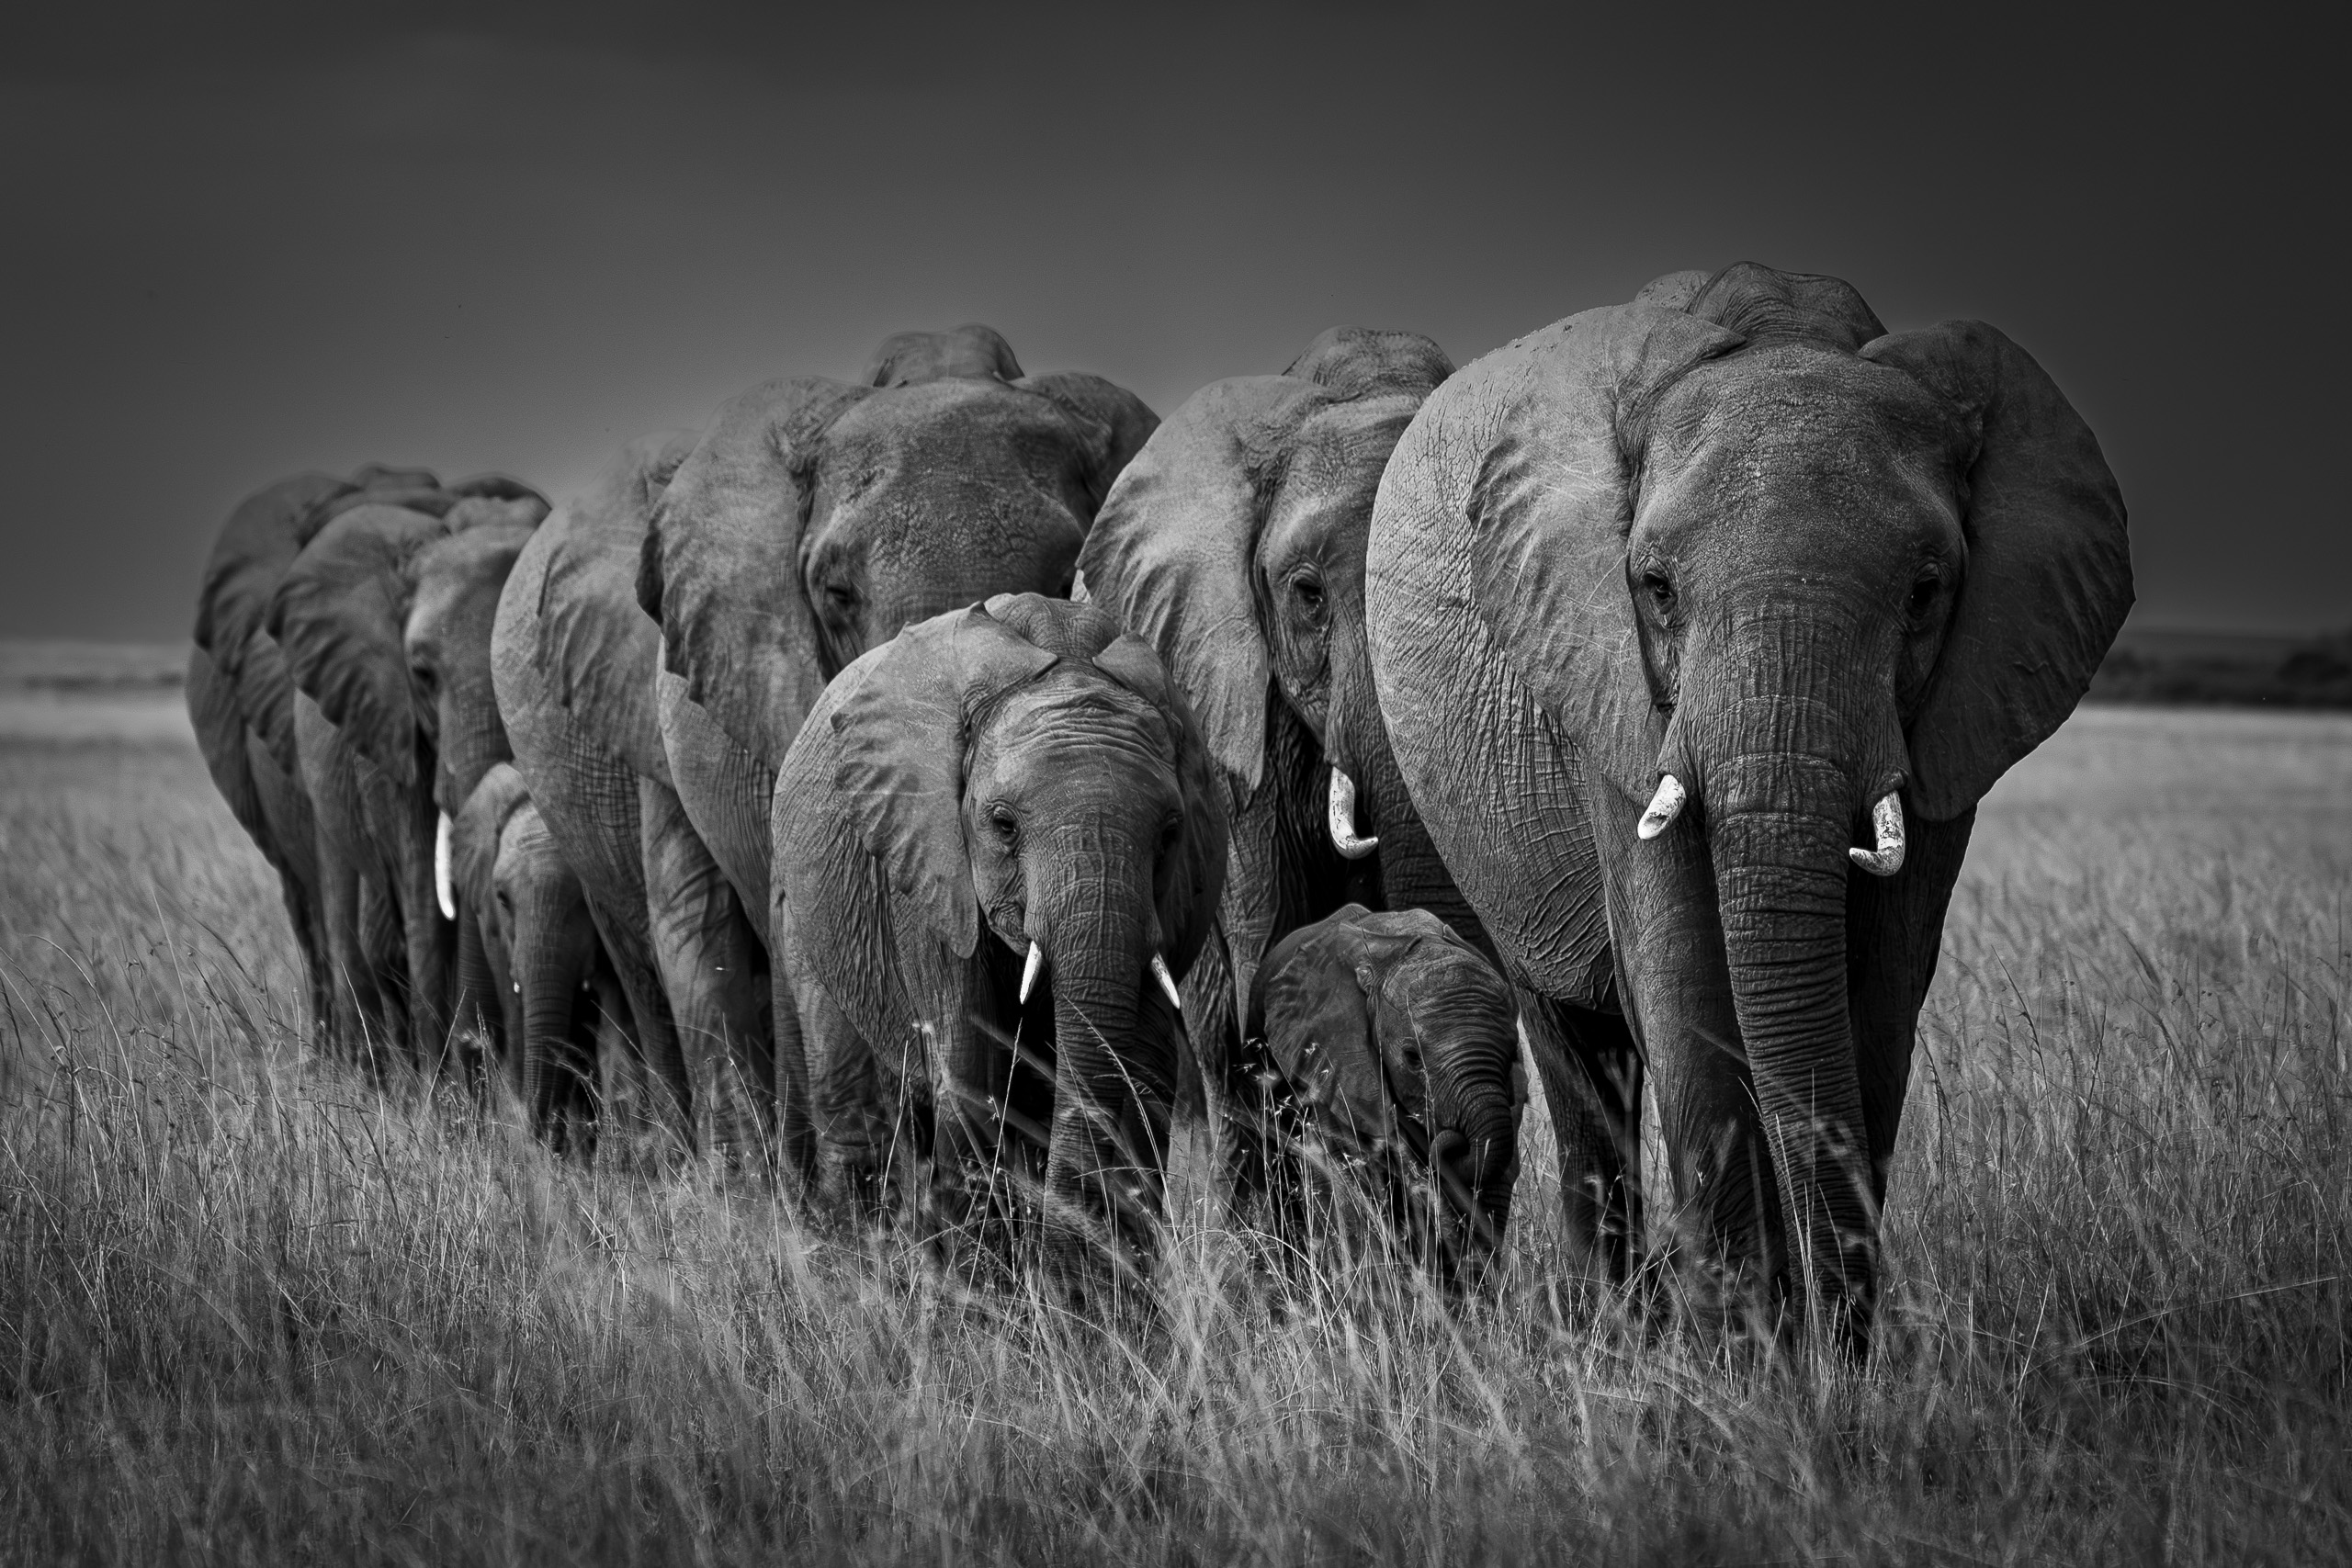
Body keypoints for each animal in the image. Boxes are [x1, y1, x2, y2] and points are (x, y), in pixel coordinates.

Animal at [772, 593, 1226, 1285]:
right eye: (1003, 825)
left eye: (1171, 833)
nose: (1065, 1271)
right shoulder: (927, 869)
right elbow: (972, 1062)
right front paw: (985, 1297)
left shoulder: (1167, 908)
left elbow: (1141, 1074)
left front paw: (1109, 1299)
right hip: (805, 914)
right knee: (855, 1101)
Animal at [1242, 904, 1525, 1286]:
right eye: (1412, 1058)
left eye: (1511, 1056)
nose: (1448, 1140)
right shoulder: (1331, 1060)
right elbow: (1354, 1178)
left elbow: (1494, 1182)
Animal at [1365, 262, 2131, 1350]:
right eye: (1654, 587)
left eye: (1926, 593)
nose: (1841, 1325)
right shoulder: (1608, 684)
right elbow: (1682, 974)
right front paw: (1746, 1357)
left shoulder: (1956, 711)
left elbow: (1880, 986)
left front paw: (1826, 1356)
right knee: (1573, 1043)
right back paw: (1617, 1324)